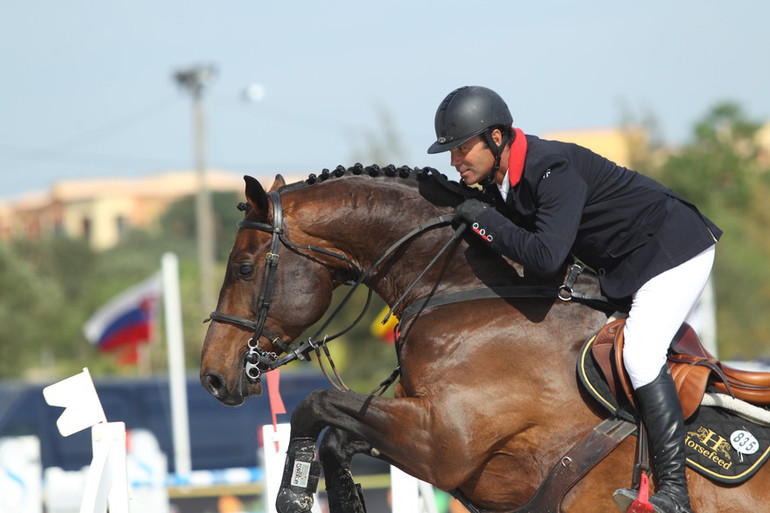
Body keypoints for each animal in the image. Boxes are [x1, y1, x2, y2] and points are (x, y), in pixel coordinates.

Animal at [200, 166, 768, 510]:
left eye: (244, 268)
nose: (212, 377)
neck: (466, 291)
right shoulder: (421, 429)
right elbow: (338, 434)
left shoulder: (442, 441)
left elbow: (312, 406)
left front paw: (294, 495)